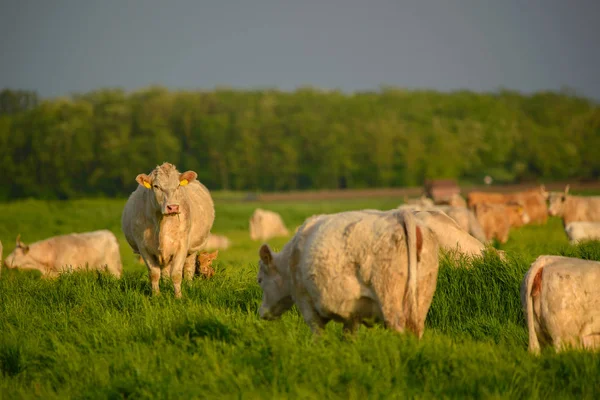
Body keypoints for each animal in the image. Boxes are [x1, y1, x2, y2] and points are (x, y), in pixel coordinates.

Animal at [122, 162, 216, 296]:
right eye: (156, 186)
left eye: (178, 185)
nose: (173, 207)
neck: (162, 223)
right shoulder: (143, 247)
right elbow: (154, 274)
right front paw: (156, 295)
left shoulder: (182, 246)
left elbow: (176, 274)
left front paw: (178, 296)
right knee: (165, 272)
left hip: (192, 249)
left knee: (189, 268)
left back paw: (189, 286)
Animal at [255, 209, 438, 338]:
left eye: (260, 280)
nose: (262, 312)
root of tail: (398, 215)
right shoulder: (353, 310)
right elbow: (348, 337)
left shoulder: (305, 302)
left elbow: (318, 335)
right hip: (421, 297)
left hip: (388, 295)